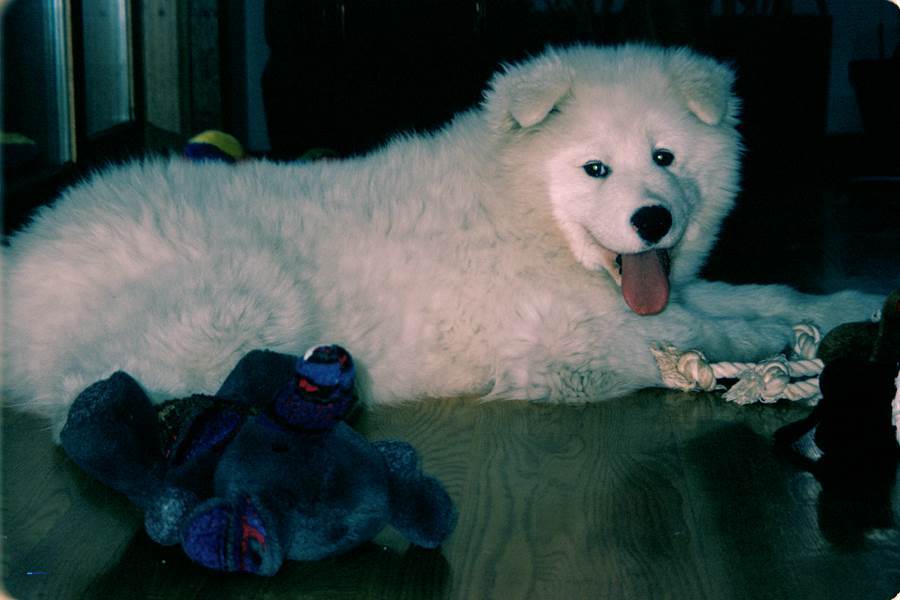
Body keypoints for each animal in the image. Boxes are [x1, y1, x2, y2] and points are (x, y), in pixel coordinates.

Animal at [3, 44, 883, 440]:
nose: (653, 222)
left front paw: (851, 302)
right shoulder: (565, 343)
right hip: (242, 295)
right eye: (595, 168)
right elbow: (705, 329)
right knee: (108, 390)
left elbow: (758, 293)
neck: (521, 211)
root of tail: (22, 258)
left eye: (665, 157)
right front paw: (774, 349)